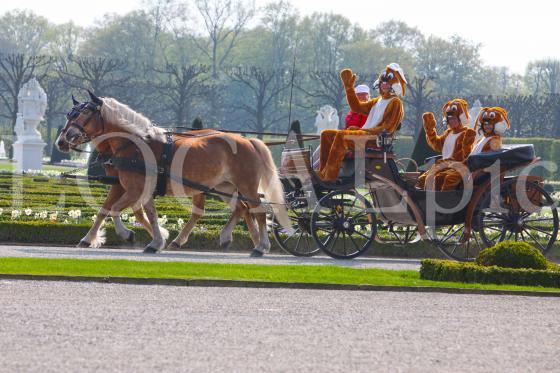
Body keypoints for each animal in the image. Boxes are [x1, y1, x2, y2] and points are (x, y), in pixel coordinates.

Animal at [55, 90, 294, 256]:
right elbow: (118, 211)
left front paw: (128, 234)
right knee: (241, 208)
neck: (135, 143)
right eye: (69, 114)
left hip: (245, 186)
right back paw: (228, 237)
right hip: (224, 187)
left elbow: (116, 210)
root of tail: (249, 141)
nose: (62, 140)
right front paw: (155, 240)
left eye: (85, 112)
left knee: (258, 210)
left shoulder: (134, 189)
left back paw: (261, 246)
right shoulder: (126, 186)